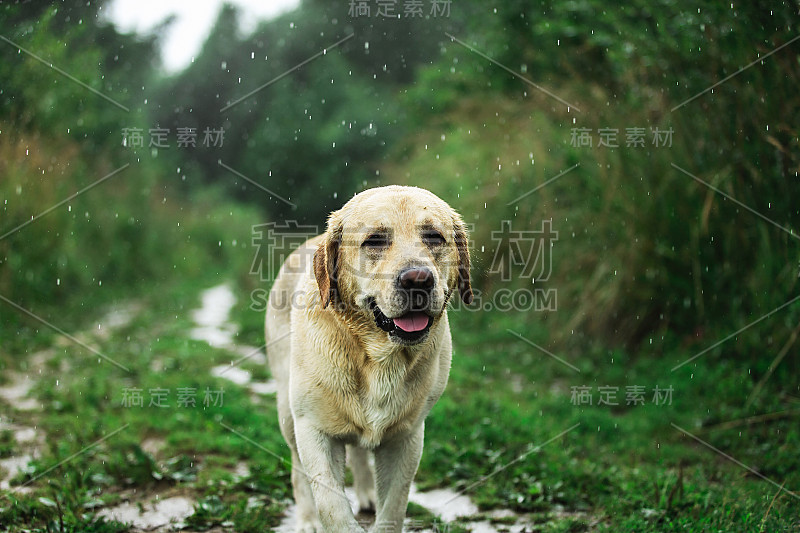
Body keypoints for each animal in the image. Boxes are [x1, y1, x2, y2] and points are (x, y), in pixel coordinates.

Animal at [266, 185, 472, 528]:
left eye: (434, 236)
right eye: (375, 240)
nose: (418, 279)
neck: (377, 357)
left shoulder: (406, 437)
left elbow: (394, 507)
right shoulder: (313, 429)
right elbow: (332, 506)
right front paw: (325, 518)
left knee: (360, 453)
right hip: (287, 411)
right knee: (298, 469)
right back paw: (307, 519)